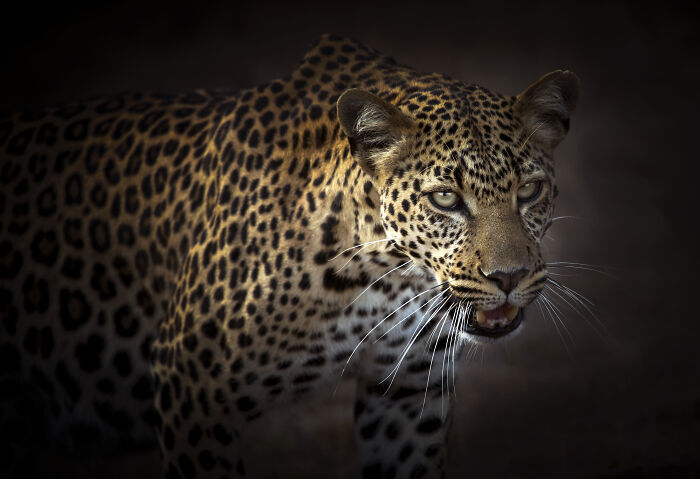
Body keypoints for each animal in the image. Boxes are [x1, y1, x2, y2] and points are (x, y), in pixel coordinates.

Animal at [0, 34, 579, 478]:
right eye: (445, 199)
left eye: (529, 191)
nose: (509, 277)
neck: (385, 275)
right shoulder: (192, 386)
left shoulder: (409, 388)